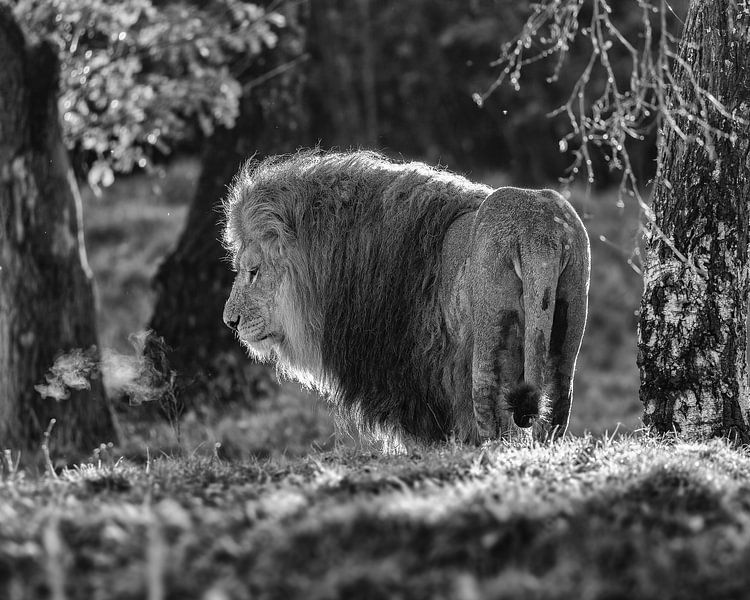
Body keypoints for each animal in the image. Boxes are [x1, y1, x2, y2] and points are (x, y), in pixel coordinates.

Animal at [220, 149, 592, 440]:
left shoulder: (414, 380)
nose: (230, 322)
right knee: (553, 416)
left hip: (489, 347)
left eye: (253, 271)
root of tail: (537, 229)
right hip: (566, 338)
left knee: (494, 418)